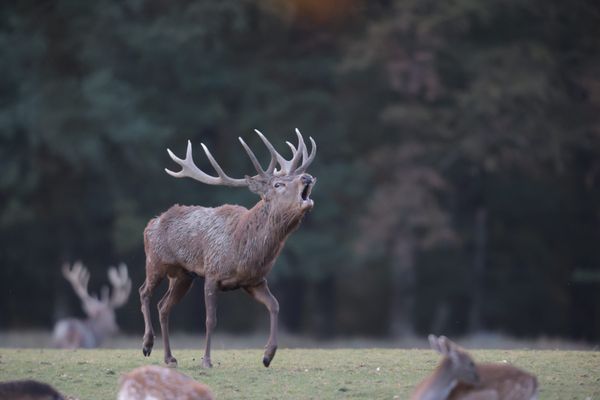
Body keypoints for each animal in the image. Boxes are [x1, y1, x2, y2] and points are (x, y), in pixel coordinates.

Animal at [139, 129, 318, 368]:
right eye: (278, 185)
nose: (307, 177)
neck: (243, 250)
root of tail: (151, 223)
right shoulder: (212, 273)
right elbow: (210, 320)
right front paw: (206, 360)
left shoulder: (254, 281)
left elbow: (275, 305)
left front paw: (268, 355)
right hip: (155, 261)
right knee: (144, 292)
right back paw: (147, 344)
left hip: (183, 276)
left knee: (163, 306)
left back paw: (169, 357)